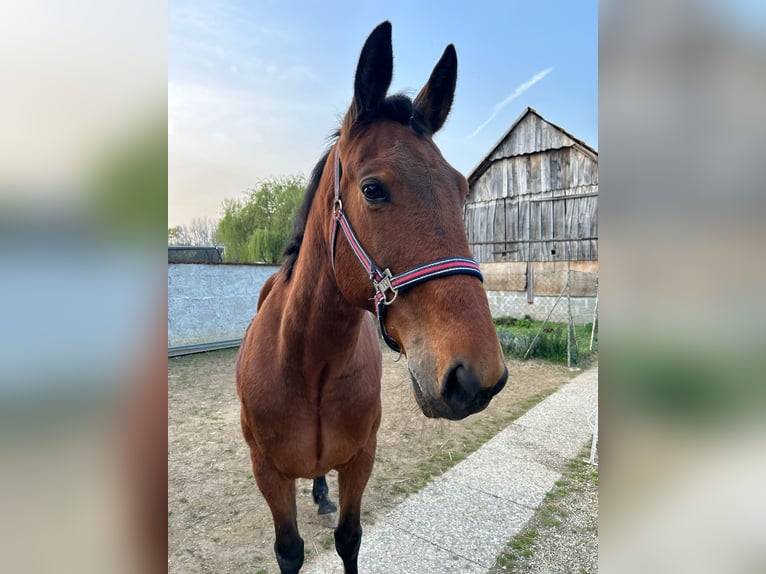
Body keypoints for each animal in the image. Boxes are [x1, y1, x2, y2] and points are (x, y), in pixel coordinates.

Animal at [237, 20, 508, 572]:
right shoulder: (267, 473)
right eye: (373, 189)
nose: (478, 376)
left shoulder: (361, 460)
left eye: (461, 188)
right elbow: (290, 551)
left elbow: (349, 539)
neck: (307, 365)